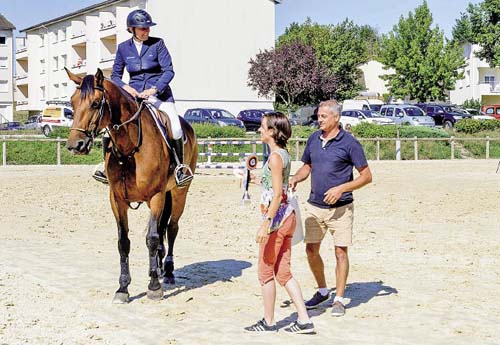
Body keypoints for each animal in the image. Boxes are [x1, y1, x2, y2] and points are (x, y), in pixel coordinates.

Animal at [66, 68, 197, 302]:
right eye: (72, 102)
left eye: (96, 103)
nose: (75, 145)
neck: (130, 149)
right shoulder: (116, 200)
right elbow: (123, 242)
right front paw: (123, 288)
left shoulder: (156, 196)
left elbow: (152, 238)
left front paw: (154, 287)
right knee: (162, 229)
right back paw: (158, 268)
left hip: (179, 193)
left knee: (171, 228)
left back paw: (168, 271)